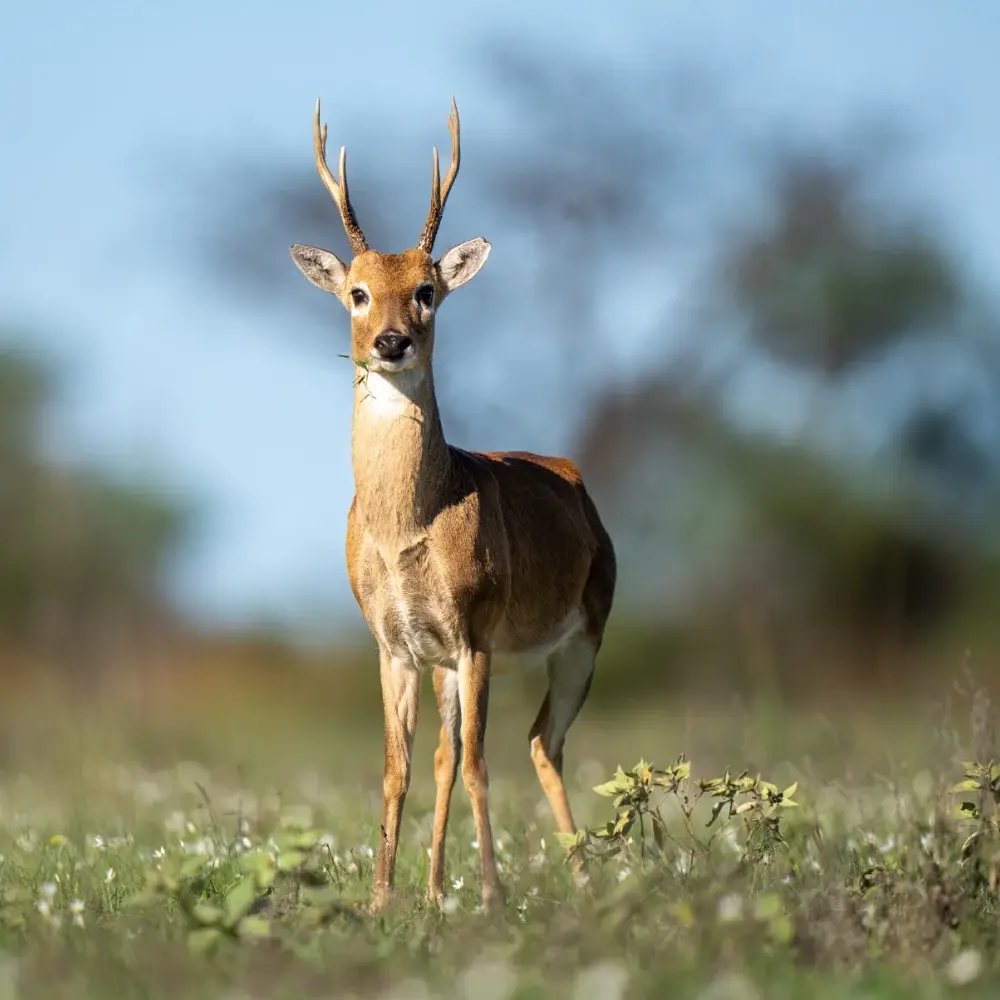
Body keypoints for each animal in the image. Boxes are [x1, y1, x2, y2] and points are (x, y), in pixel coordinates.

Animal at [289, 97, 617, 915]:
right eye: (357, 291)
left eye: (428, 289)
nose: (391, 341)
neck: (408, 525)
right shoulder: (396, 645)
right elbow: (400, 767)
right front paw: (383, 900)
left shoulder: (475, 633)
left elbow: (476, 764)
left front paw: (494, 895)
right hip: (449, 662)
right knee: (453, 750)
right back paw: (438, 890)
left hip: (584, 634)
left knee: (540, 742)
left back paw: (582, 883)